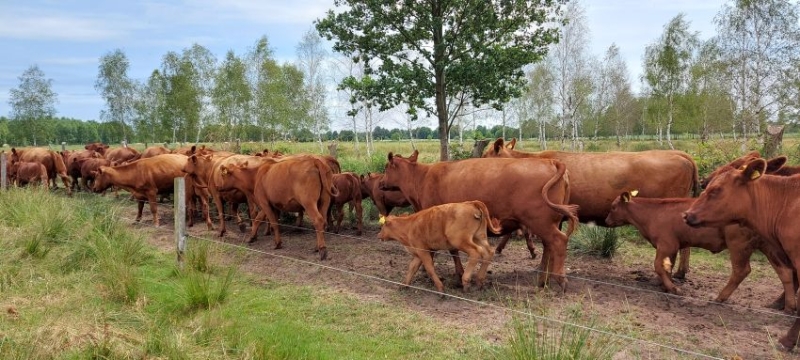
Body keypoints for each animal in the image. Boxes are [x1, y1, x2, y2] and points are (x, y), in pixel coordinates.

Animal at [382, 150, 580, 292]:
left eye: (385, 168)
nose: (382, 183)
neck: (422, 177)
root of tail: (550, 161)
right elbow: (452, 251)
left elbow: (446, 251)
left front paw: (453, 273)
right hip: (549, 222)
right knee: (549, 246)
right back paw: (542, 279)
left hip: (539, 221)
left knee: (558, 241)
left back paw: (560, 279)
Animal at [608, 191, 792, 310]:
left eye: (613, 207)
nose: (606, 220)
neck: (652, 213)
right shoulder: (673, 246)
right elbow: (668, 266)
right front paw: (666, 285)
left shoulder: (666, 244)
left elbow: (658, 265)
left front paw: (674, 289)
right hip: (767, 246)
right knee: (785, 272)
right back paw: (787, 306)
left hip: (738, 245)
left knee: (741, 271)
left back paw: (720, 297)